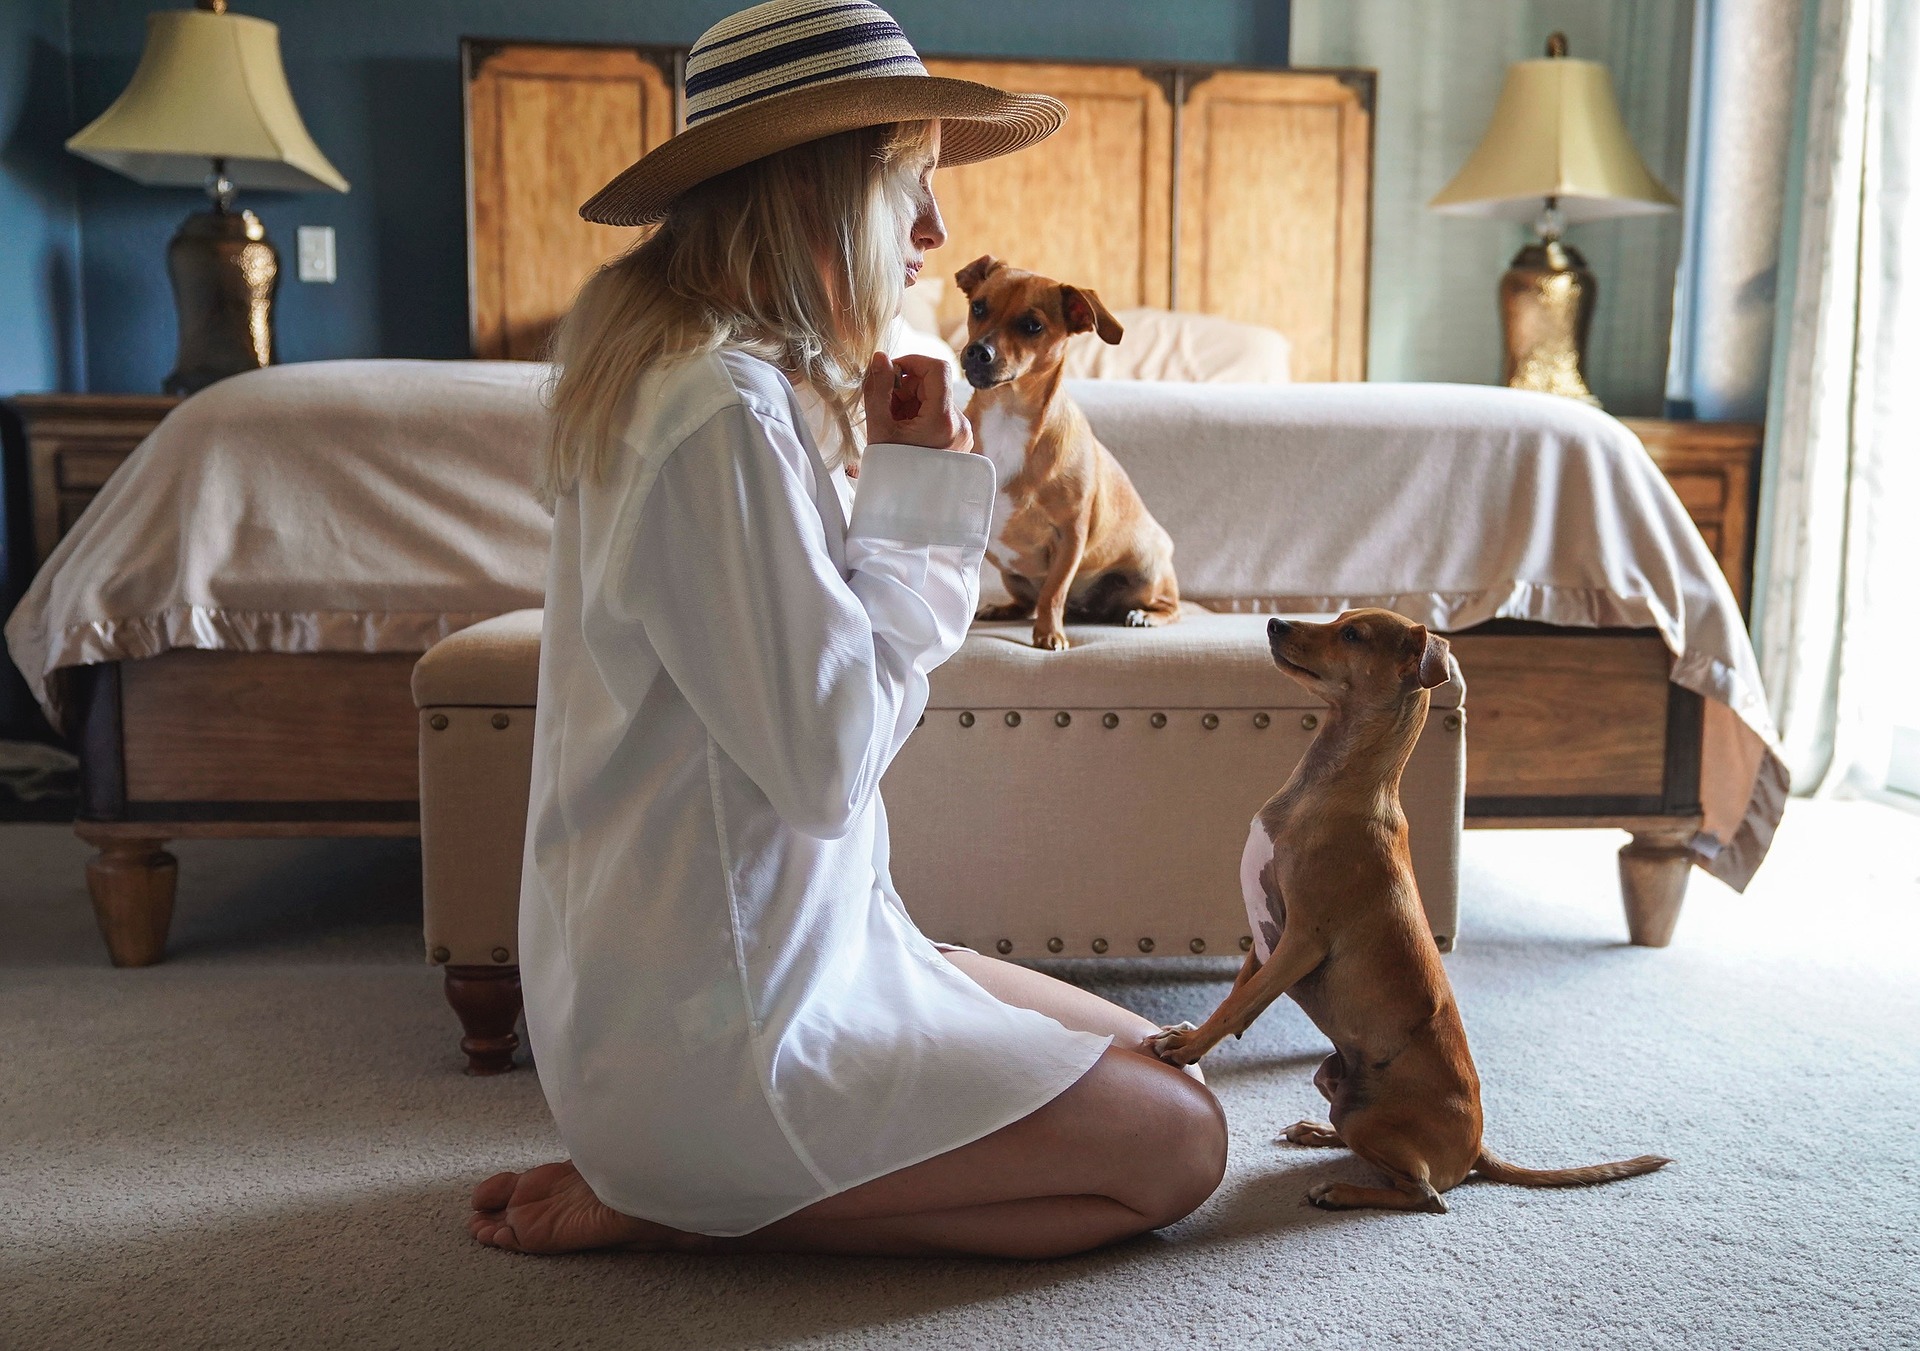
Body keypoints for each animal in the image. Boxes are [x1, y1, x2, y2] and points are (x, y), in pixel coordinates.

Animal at [952, 259, 1175, 652]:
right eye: (978, 307)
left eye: (1032, 325)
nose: (978, 351)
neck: (1007, 417)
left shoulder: (1071, 535)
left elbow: (1054, 592)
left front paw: (1049, 634)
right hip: (1012, 576)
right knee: (1026, 601)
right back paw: (1003, 608)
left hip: (1148, 572)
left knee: (1171, 606)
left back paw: (1145, 616)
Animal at [1144, 614, 1674, 1212]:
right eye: (1338, 619)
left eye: (1352, 635)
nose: (1274, 623)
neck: (1332, 787)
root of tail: (1477, 1149)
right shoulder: (1264, 941)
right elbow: (1238, 995)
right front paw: (1188, 1034)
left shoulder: (1301, 940)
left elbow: (1237, 1006)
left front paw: (1184, 1048)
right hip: (1333, 1082)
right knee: (1366, 1147)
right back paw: (1317, 1132)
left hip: (1372, 1122)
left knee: (1425, 1195)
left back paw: (1339, 1190)